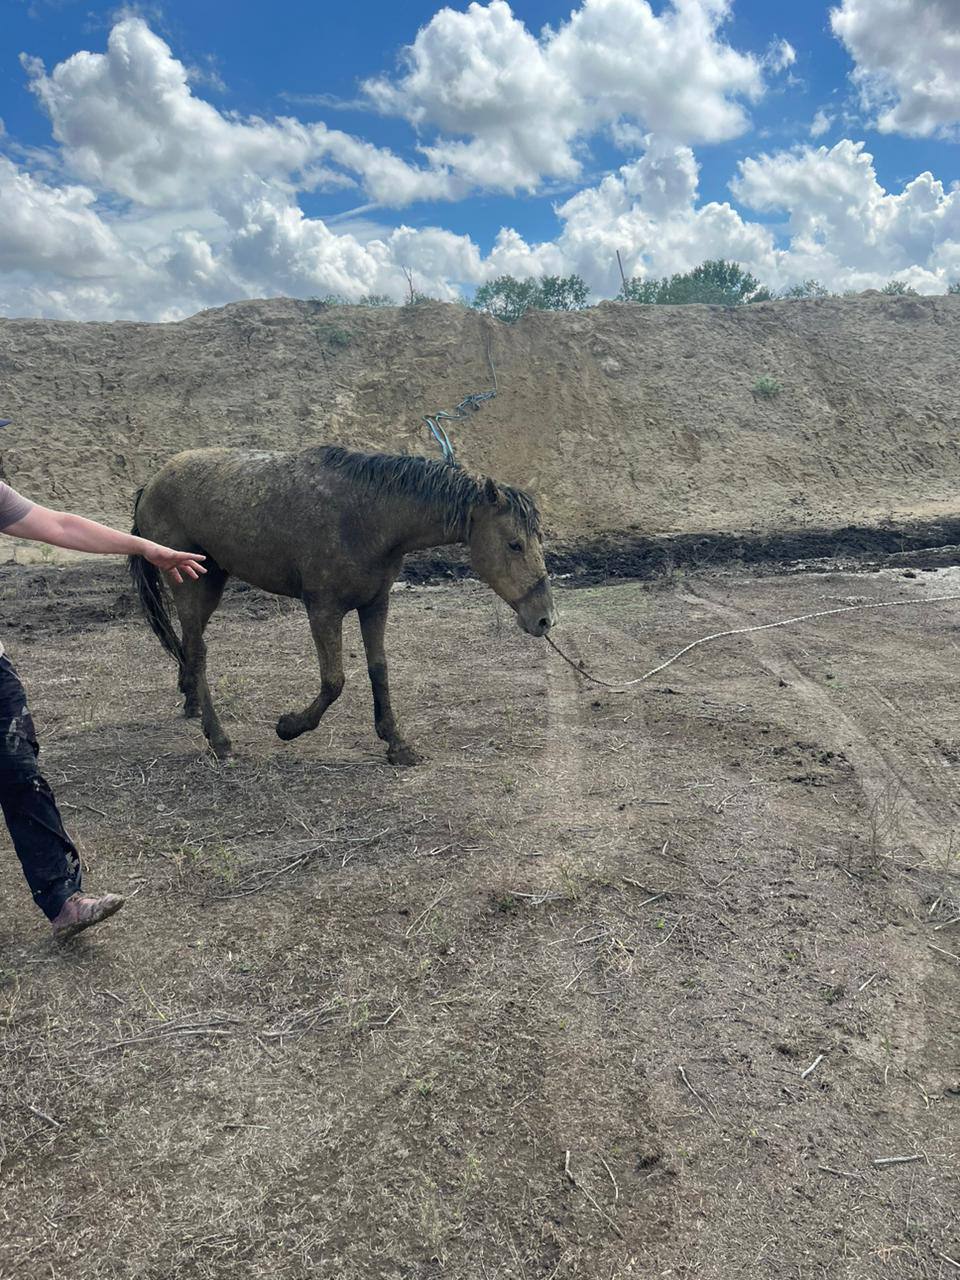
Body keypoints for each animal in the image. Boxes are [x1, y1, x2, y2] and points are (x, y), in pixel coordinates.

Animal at [131, 442, 560, 757]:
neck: (367, 517)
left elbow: (379, 669)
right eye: (514, 543)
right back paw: (219, 739)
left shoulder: (375, 604)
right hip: (192, 585)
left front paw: (396, 743)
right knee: (198, 651)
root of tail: (150, 483)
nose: (545, 618)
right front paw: (289, 726)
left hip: (212, 581)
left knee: (190, 646)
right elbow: (334, 681)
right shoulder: (323, 610)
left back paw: (191, 703)